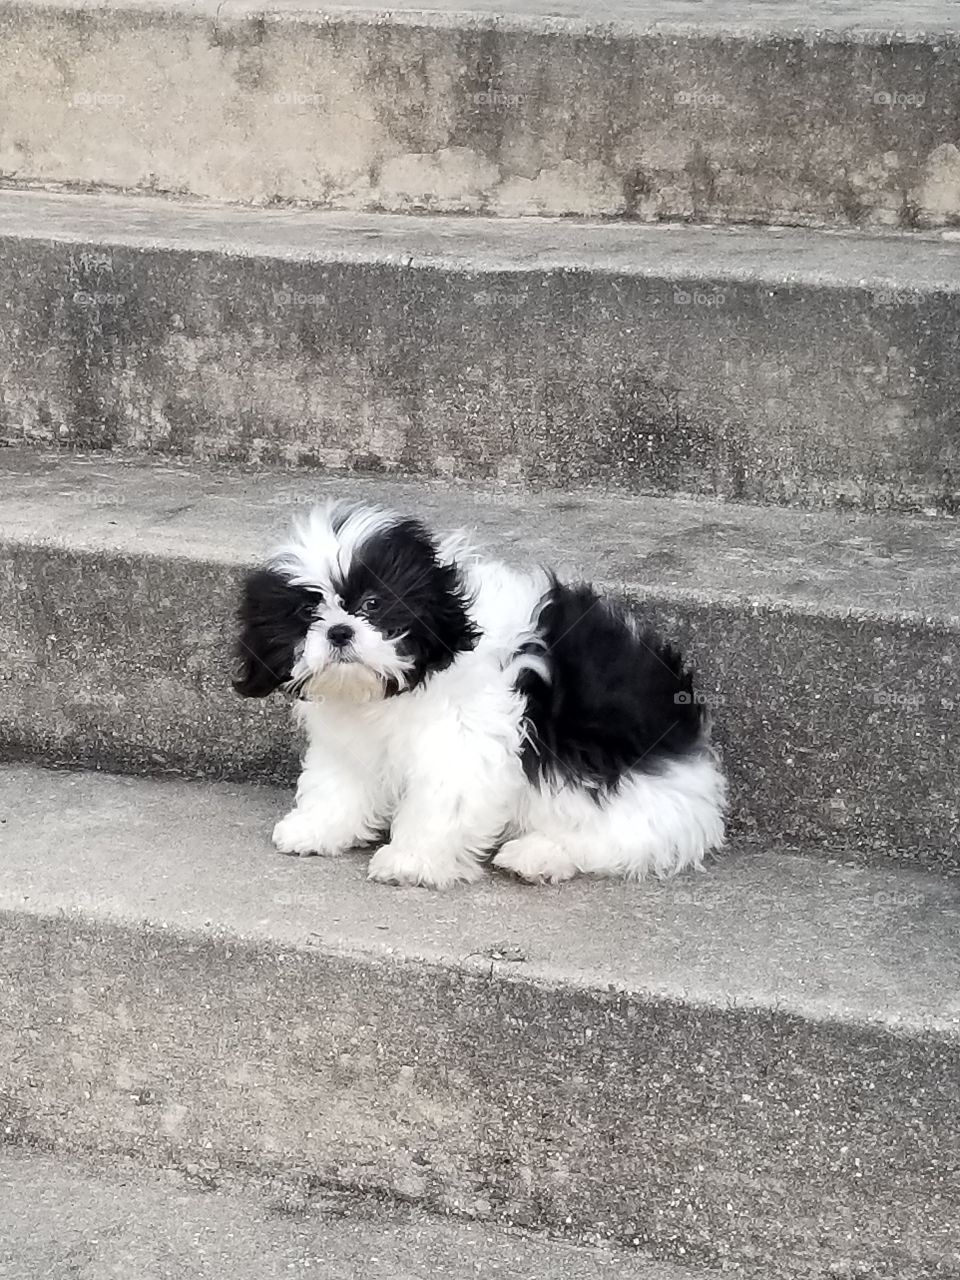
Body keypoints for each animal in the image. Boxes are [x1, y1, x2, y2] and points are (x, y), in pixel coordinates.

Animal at [235, 501, 727, 890]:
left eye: (373, 604)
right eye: (307, 612)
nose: (339, 631)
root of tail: (699, 774)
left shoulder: (463, 738)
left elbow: (442, 801)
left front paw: (411, 861)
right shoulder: (352, 739)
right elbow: (340, 782)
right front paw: (316, 828)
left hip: (620, 793)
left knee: (615, 839)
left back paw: (537, 855)